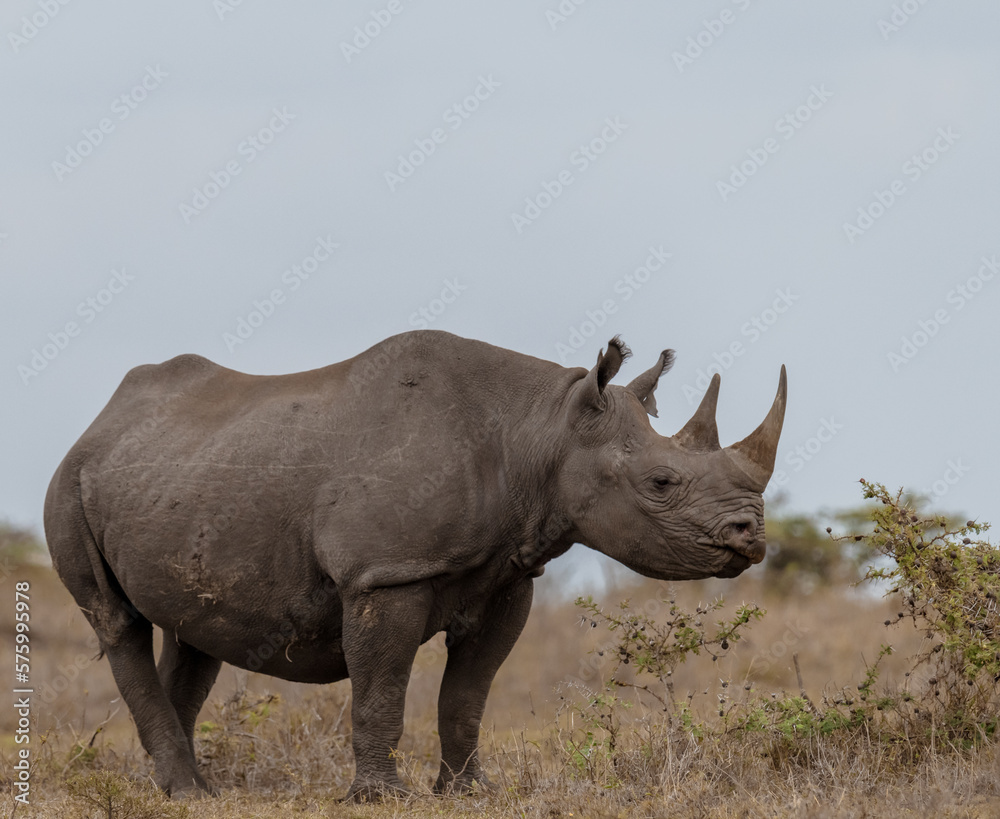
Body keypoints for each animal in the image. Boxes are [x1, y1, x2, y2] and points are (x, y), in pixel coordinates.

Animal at [44, 330, 786, 800]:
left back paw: (175, 789)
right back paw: (188, 792)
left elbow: (467, 694)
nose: (751, 536)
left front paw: (469, 792)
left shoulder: (509, 576)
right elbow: (382, 687)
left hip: (173, 475)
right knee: (115, 621)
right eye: (661, 482)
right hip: (69, 481)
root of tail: (98, 422)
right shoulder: (385, 572)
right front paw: (380, 797)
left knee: (194, 636)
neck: (539, 430)